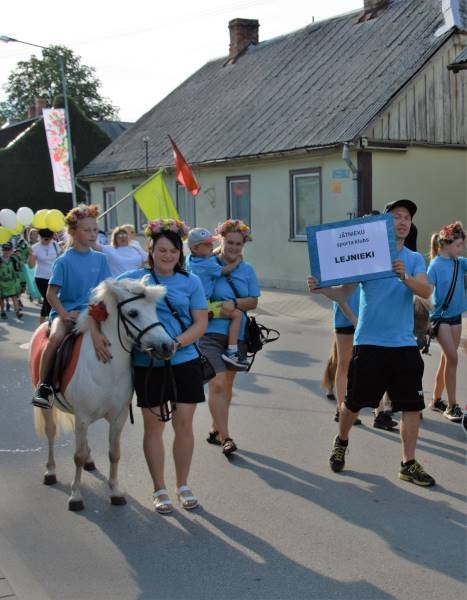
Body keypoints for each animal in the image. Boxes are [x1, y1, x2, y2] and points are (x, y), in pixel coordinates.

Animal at [29, 276, 176, 510]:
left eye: (154, 309)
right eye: (133, 313)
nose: (167, 346)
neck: (107, 367)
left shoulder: (118, 418)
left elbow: (114, 454)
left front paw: (115, 492)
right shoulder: (82, 417)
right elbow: (77, 457)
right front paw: (76, 496)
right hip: (48, 408)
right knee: (51, 433)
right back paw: (50, 471)